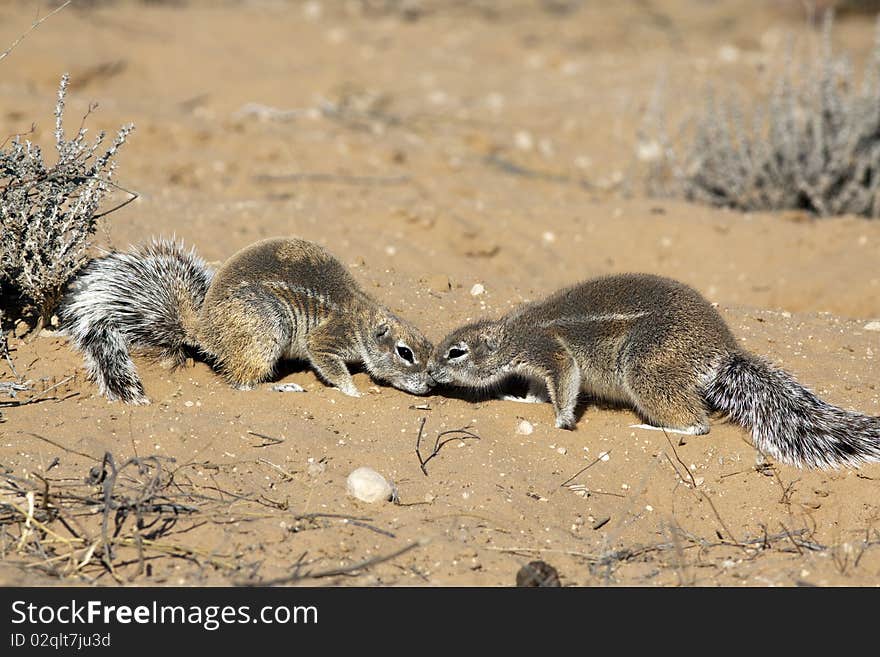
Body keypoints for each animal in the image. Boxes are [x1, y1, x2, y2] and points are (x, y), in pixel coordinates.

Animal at [426, 274, 880, 468]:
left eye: (455, 352)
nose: (429, 372)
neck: (511, 334)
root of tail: (723, 351)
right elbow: (542, 389)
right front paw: (520, 397)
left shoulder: (549, 350)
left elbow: (566, 381)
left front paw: (561, 421)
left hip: (645, 368)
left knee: (697, 424)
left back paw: (649, 426)